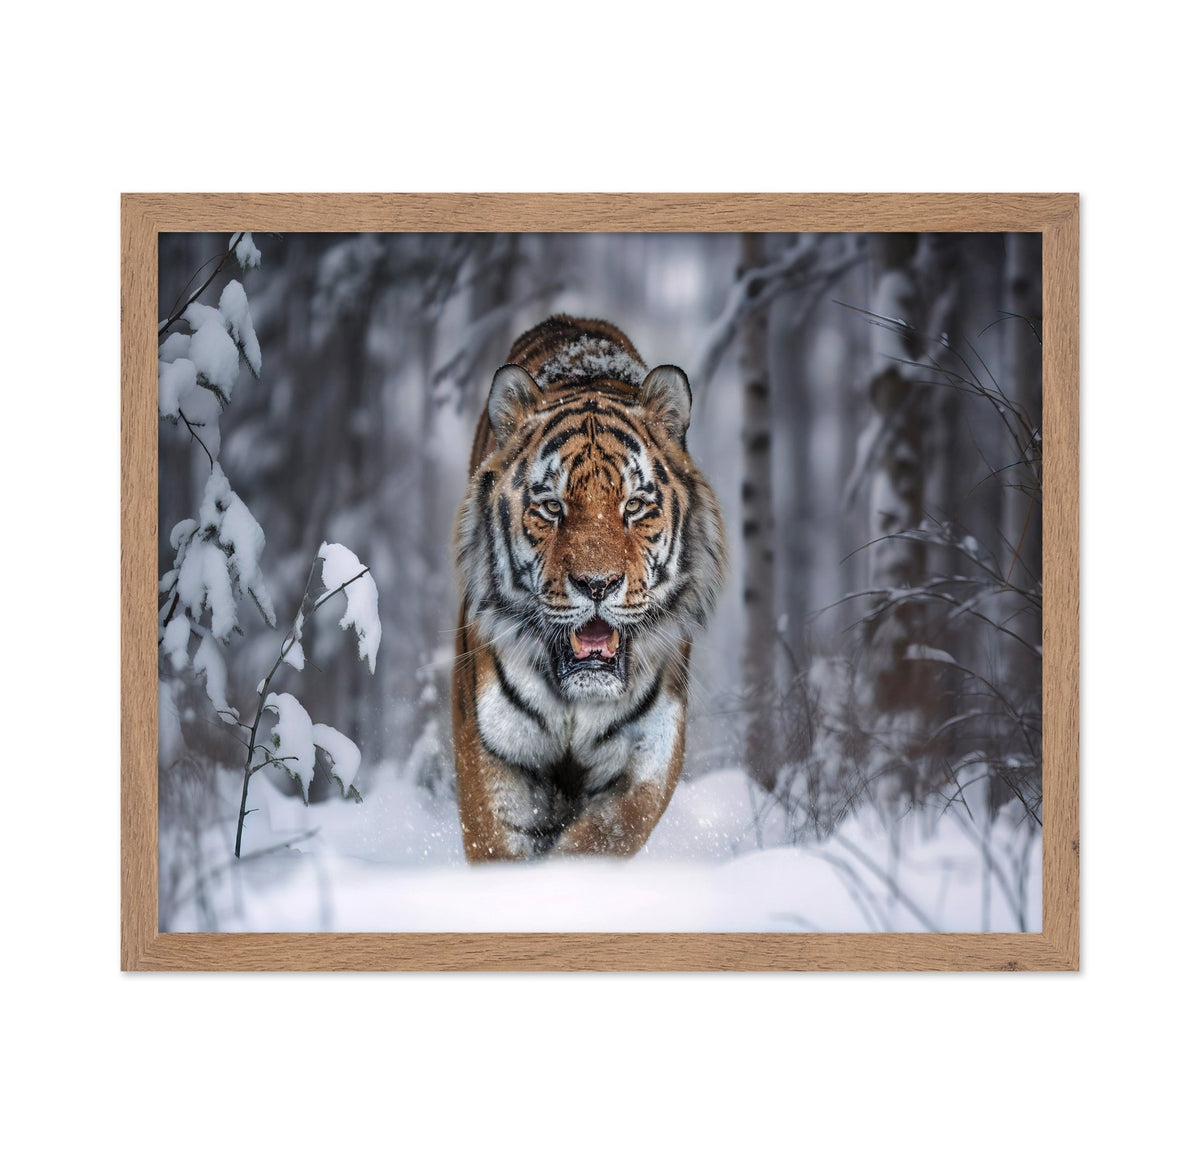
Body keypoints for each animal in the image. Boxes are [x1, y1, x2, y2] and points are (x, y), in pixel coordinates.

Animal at [452, 315, 727, 862]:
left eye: (634, 506)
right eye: (551, 507)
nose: (597, 584)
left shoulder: (647, 755)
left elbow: (599, 841)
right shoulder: (491, 748)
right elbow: (497, 846)